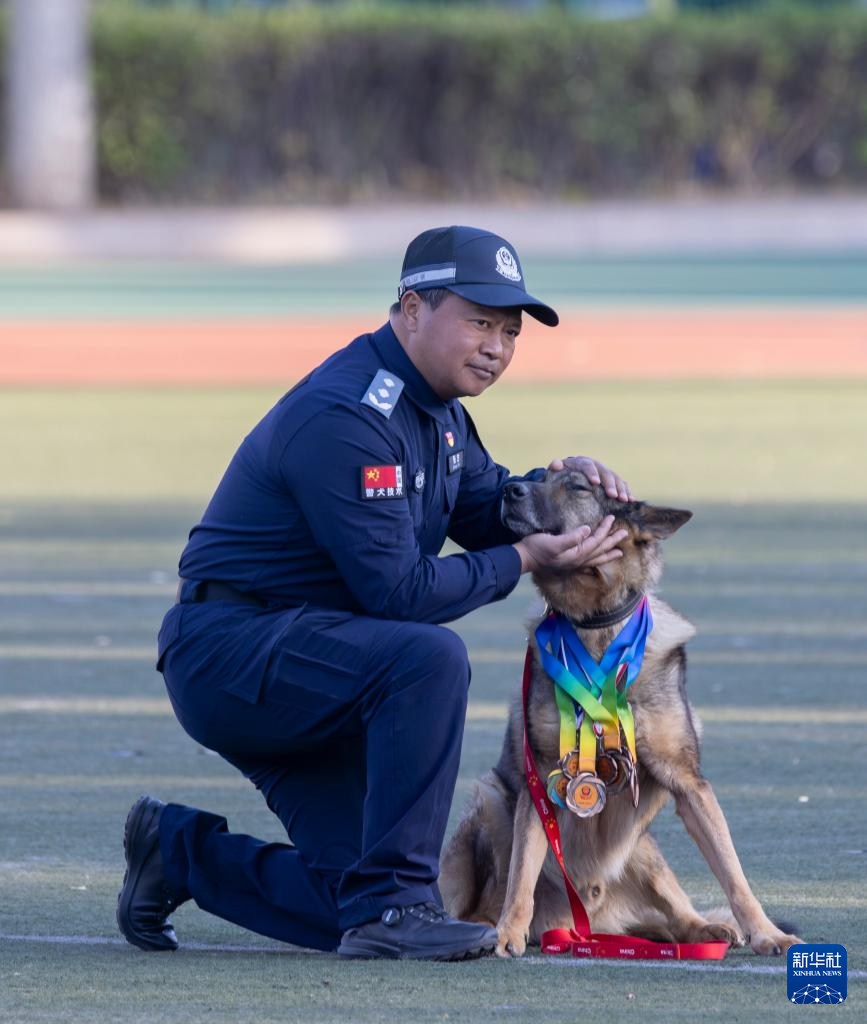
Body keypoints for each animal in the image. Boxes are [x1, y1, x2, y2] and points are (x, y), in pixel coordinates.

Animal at [440, 468, 806, 954]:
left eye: (578, 485)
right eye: (542, 475)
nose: (509, 489)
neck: (595, 626)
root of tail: (588, 923)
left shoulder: (689, 784)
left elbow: (734, 873)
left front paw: (767, 933)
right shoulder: (539, 783)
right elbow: (521, 874)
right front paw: (506, 932)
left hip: (643, 848)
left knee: (676, 906)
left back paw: (705, 929)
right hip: (490, 799)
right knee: (478, 895)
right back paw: (479, 926)